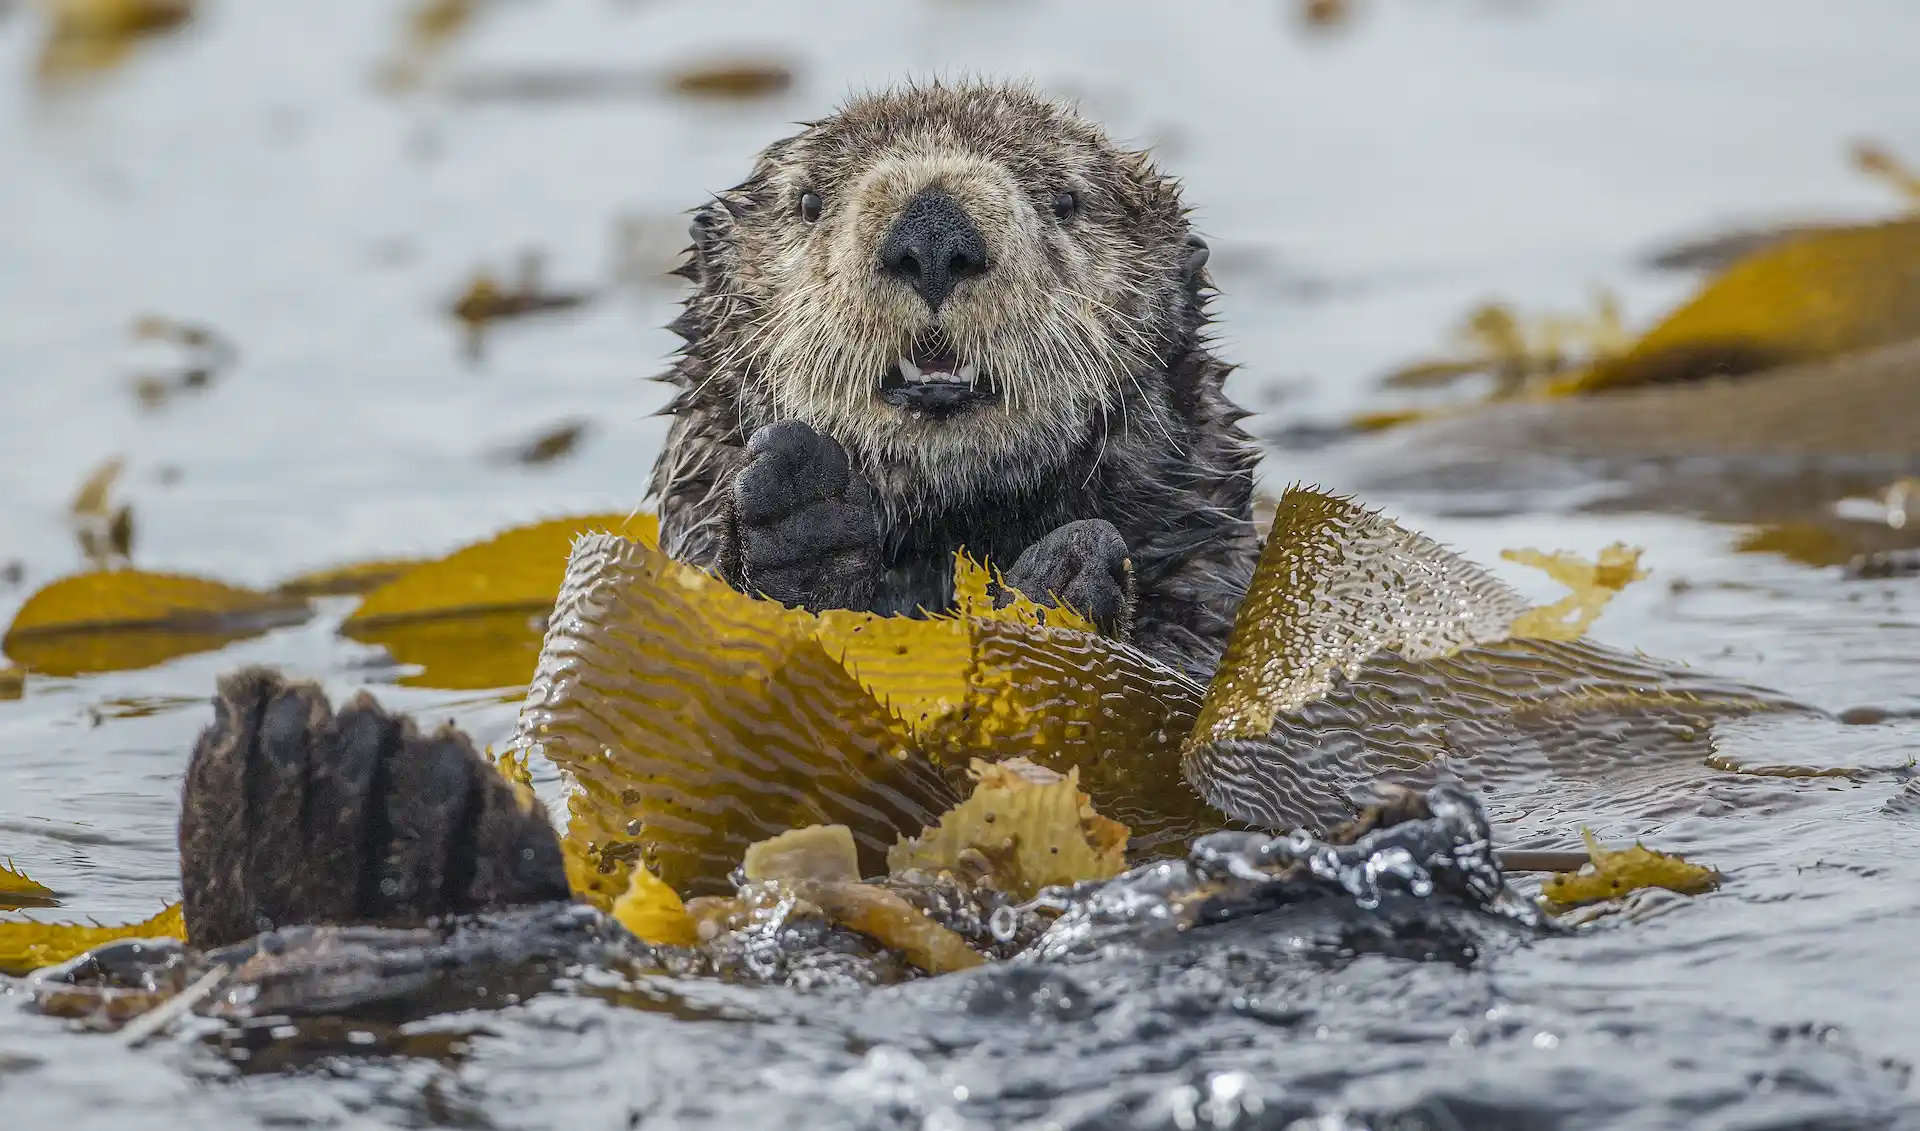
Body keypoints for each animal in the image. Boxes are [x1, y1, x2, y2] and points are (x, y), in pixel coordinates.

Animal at [172, 79, 1267, 948]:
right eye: (811, 200)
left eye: (1067, 200)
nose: (933, 231)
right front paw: (800, 513)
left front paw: (1062, 583)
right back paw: (328, 800)